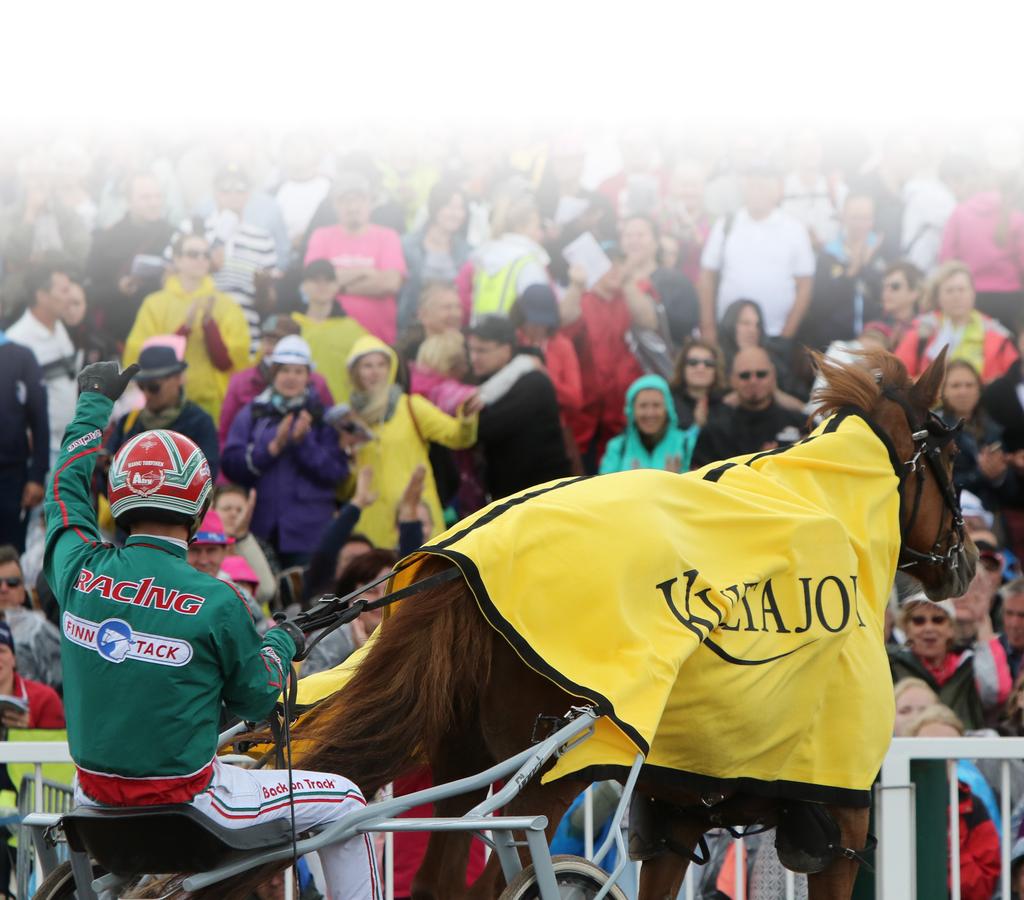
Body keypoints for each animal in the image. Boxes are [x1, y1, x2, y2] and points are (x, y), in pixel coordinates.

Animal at [214, 346, 966, 900]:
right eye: (950, 456)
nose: (967, 558)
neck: (824, 500)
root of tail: (460, 565)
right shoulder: (842, 815)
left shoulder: (676, 814)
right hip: (550, 777)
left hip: (466, 760)